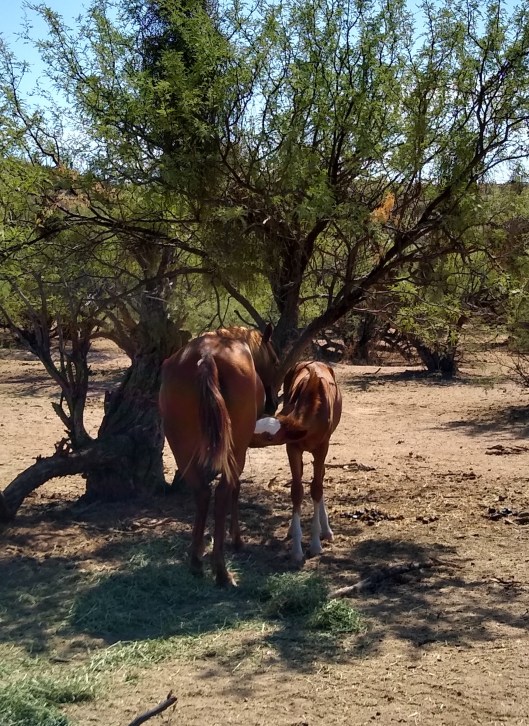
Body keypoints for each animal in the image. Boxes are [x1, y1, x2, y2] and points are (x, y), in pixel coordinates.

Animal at [160, 324, 300, 586]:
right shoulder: (241, 451)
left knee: (202, 493)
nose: (272, 403)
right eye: (274, 361)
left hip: (182, 450)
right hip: (233, 450)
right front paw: (235, 539)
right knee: (224, 490)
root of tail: (206, 355)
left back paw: (196, 562)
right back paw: (221, 571)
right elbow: (236, 489)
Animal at [251, 361, 342, 562]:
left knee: (320, 478)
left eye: (270, 437)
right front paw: (297, 548)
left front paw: (315, 544)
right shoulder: (292, 447)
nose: (247, 440)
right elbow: (297, 491)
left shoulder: (322, 448)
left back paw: (327, 530)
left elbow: (316, 488)